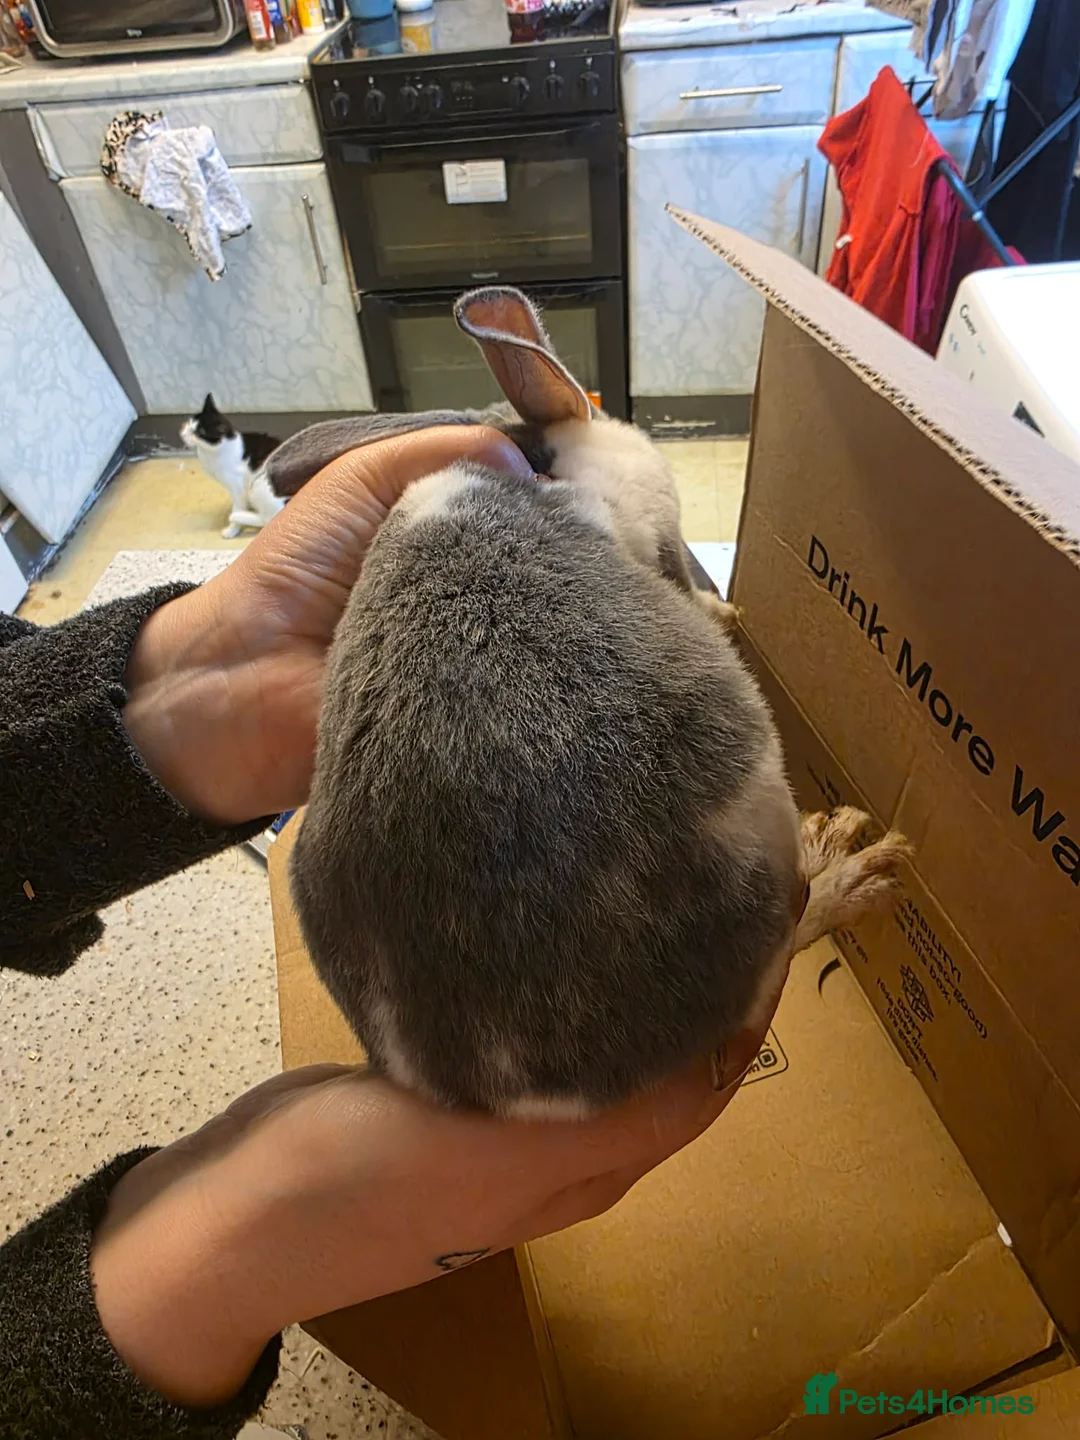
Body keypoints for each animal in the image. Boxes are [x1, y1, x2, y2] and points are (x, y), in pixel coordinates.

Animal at [283, 286, 909, 1118]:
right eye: (675, 549)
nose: (706, 597)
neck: (557, 475)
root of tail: (511, 1086)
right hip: (748, 821)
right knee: (785, 941)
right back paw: (846, 867)